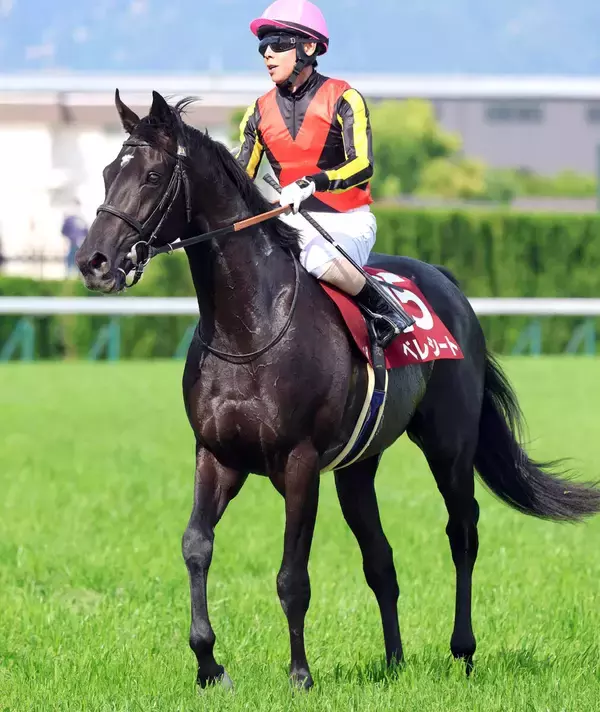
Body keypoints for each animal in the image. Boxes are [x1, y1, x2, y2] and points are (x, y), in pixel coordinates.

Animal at [76, 90, 600, 691]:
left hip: (450, 444)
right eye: (108, 171)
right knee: (381, 559)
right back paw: (394, 660)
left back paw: (463, 650)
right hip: (357, 467)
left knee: (462, 531)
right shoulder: (215, 455)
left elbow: (292, 575)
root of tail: (447, 282)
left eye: (153, 174)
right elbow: (195, 546)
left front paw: (300, 674)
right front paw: (209, 664)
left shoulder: (299, 463)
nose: (93, 262)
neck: (248, 326)